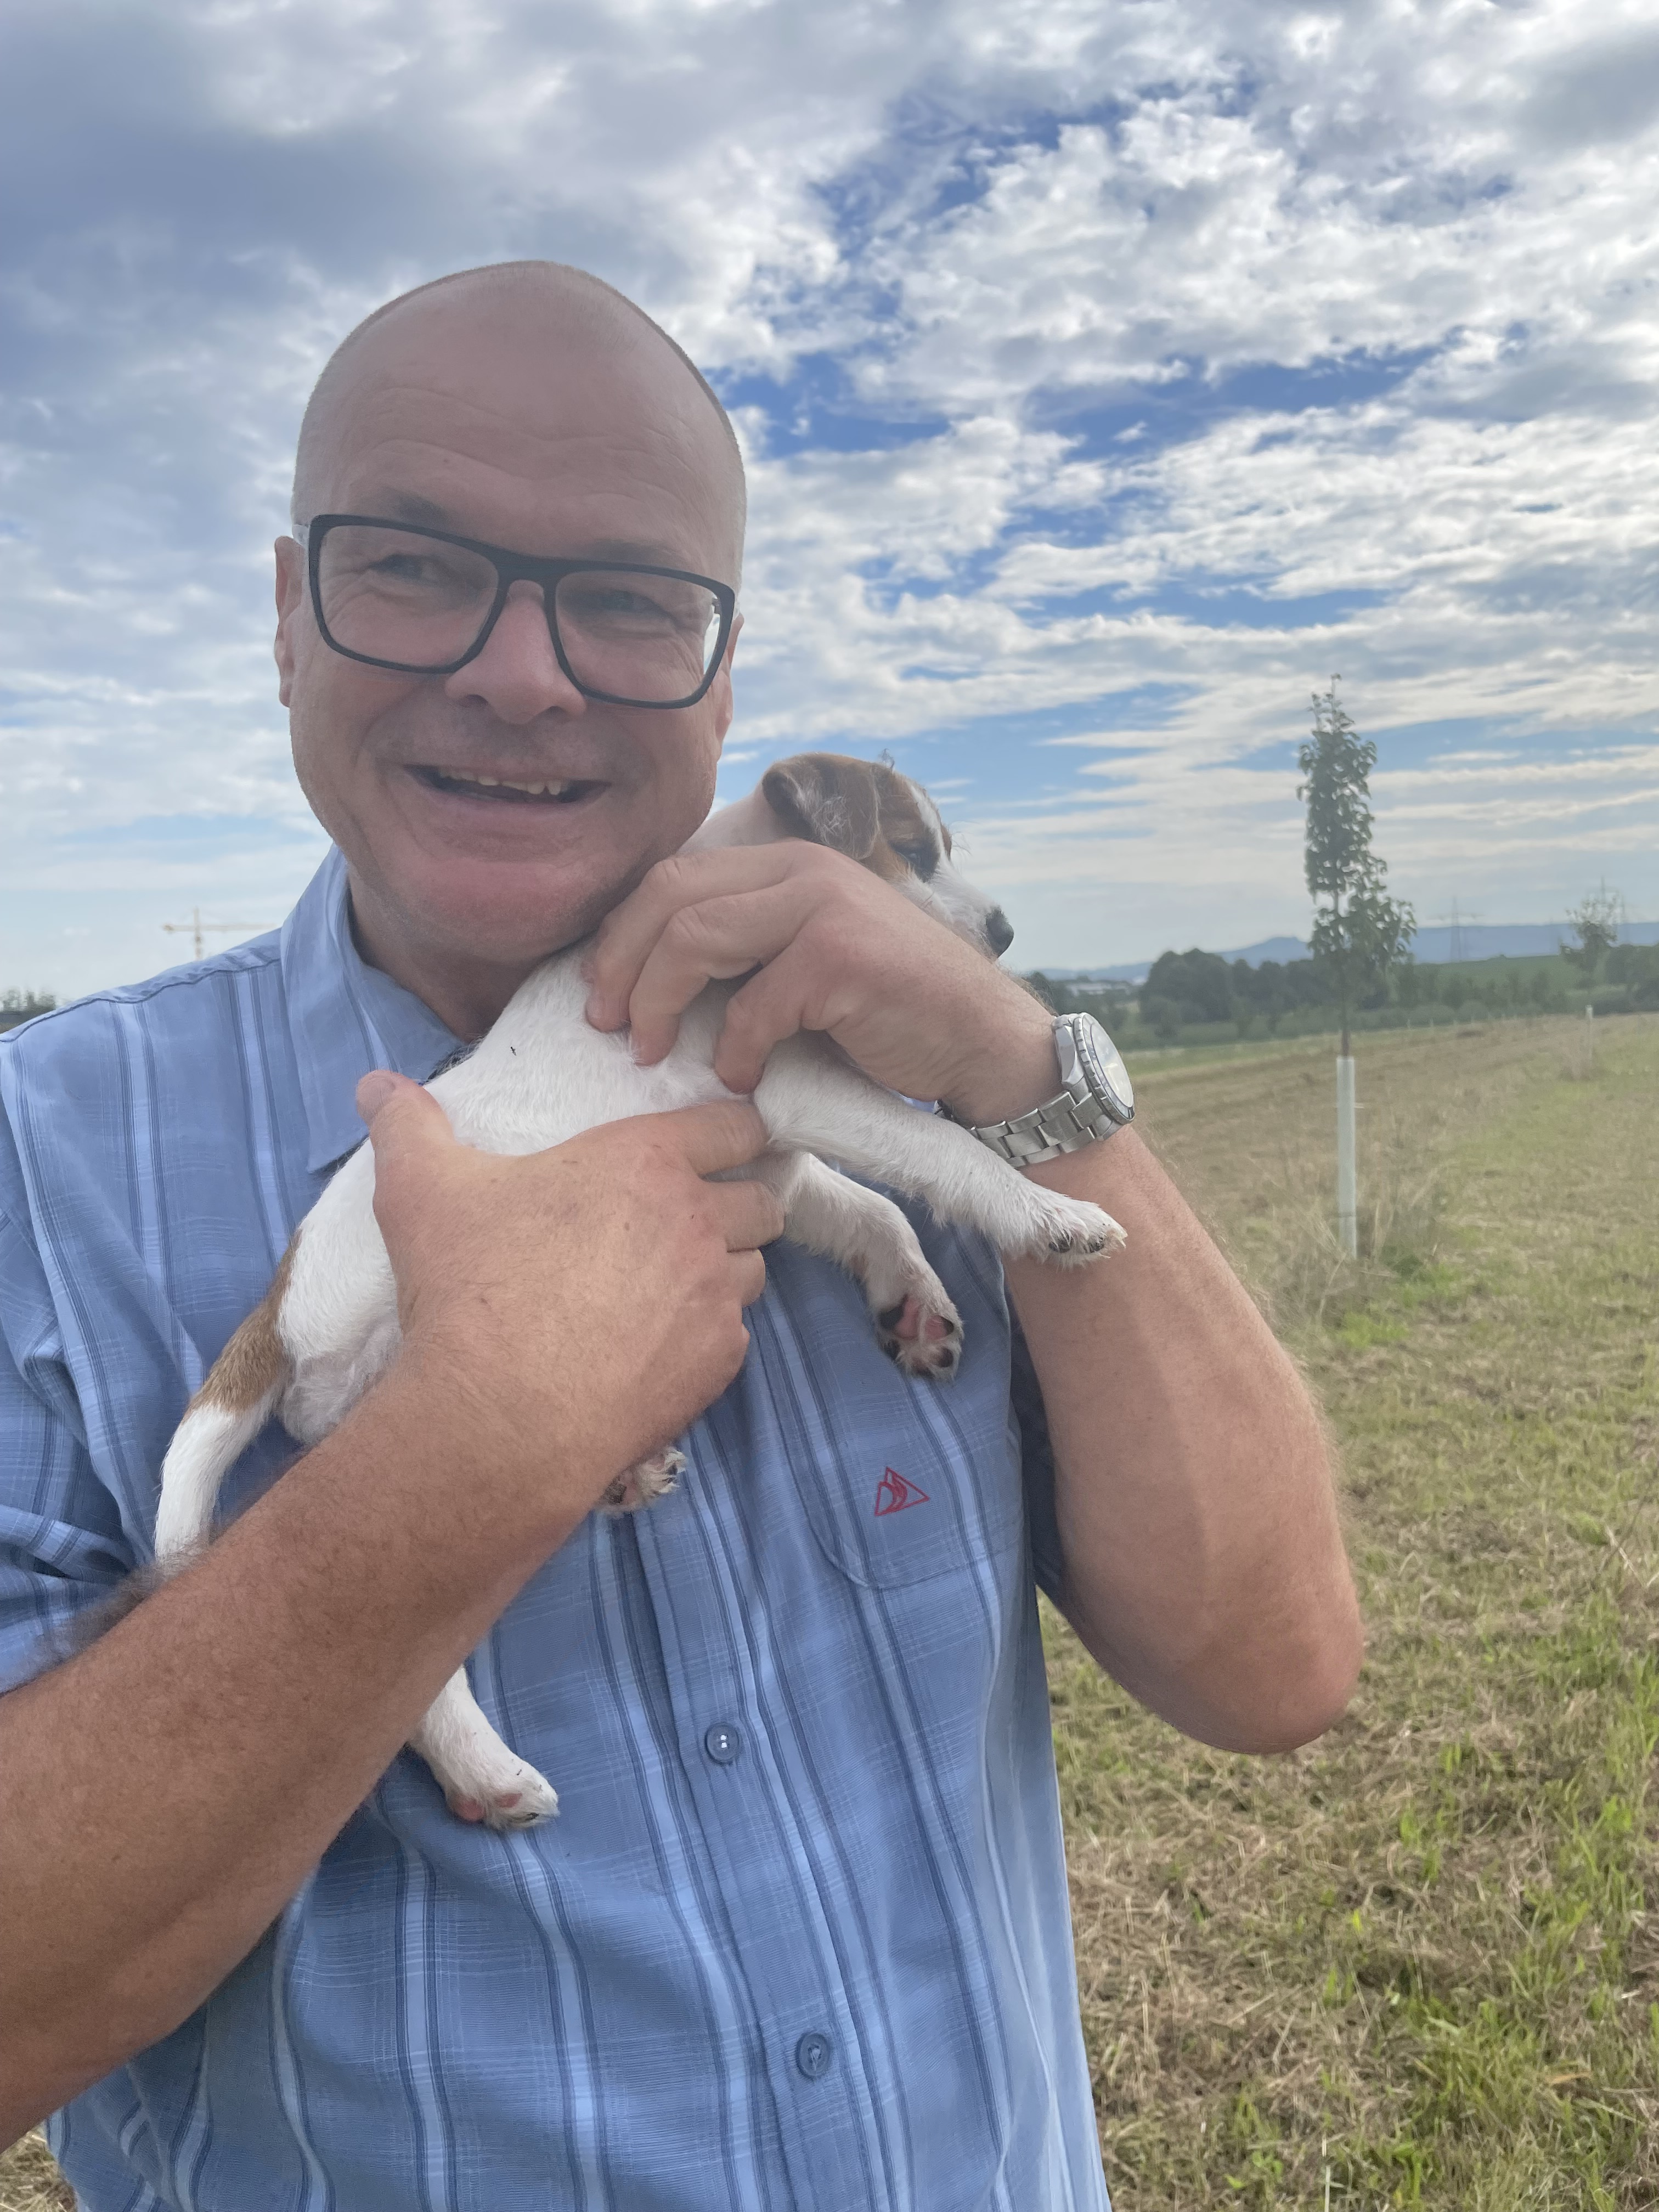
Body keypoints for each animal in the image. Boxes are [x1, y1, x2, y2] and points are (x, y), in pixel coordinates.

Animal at [153, 752, 1125, 1829]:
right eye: (910, 851)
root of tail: (280, 1312)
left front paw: (911, 1300)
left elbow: (879, 1213)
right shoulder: (800, 1089)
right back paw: (484, 1770)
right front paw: (1046, 1213)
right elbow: (943, 1154)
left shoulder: (773, 1165)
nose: (1002, 934)